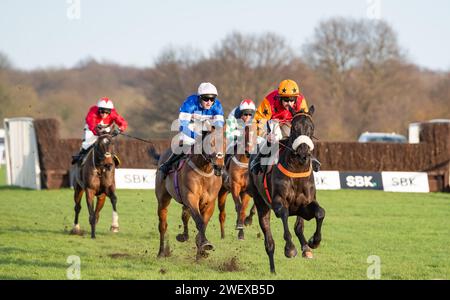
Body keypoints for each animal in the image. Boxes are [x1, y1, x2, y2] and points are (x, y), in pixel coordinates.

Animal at [155, 127, 225, 258]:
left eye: (224, 144)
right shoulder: (191, 198)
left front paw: (201, 251)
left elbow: (204, 223)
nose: (219, 167)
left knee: (185, 215)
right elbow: (199, 221)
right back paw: (161, 252)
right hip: (163, 200)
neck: (204, 170)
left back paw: (184, 236)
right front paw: (205, 244)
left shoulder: (210, 203)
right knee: (162, 225)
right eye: (210, 143)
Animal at [248, 106, 326, 274]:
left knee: (299, 228)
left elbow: (319, 213)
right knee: (269, 241)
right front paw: (290, 249)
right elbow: (284, 214)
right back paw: (272, 269)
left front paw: (314, 241)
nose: (303, 153)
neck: (297, 170)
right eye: (295, 128)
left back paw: (306, 248)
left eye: (311, 127)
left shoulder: (305, 206)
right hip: (261, 203)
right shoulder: (278, 202)